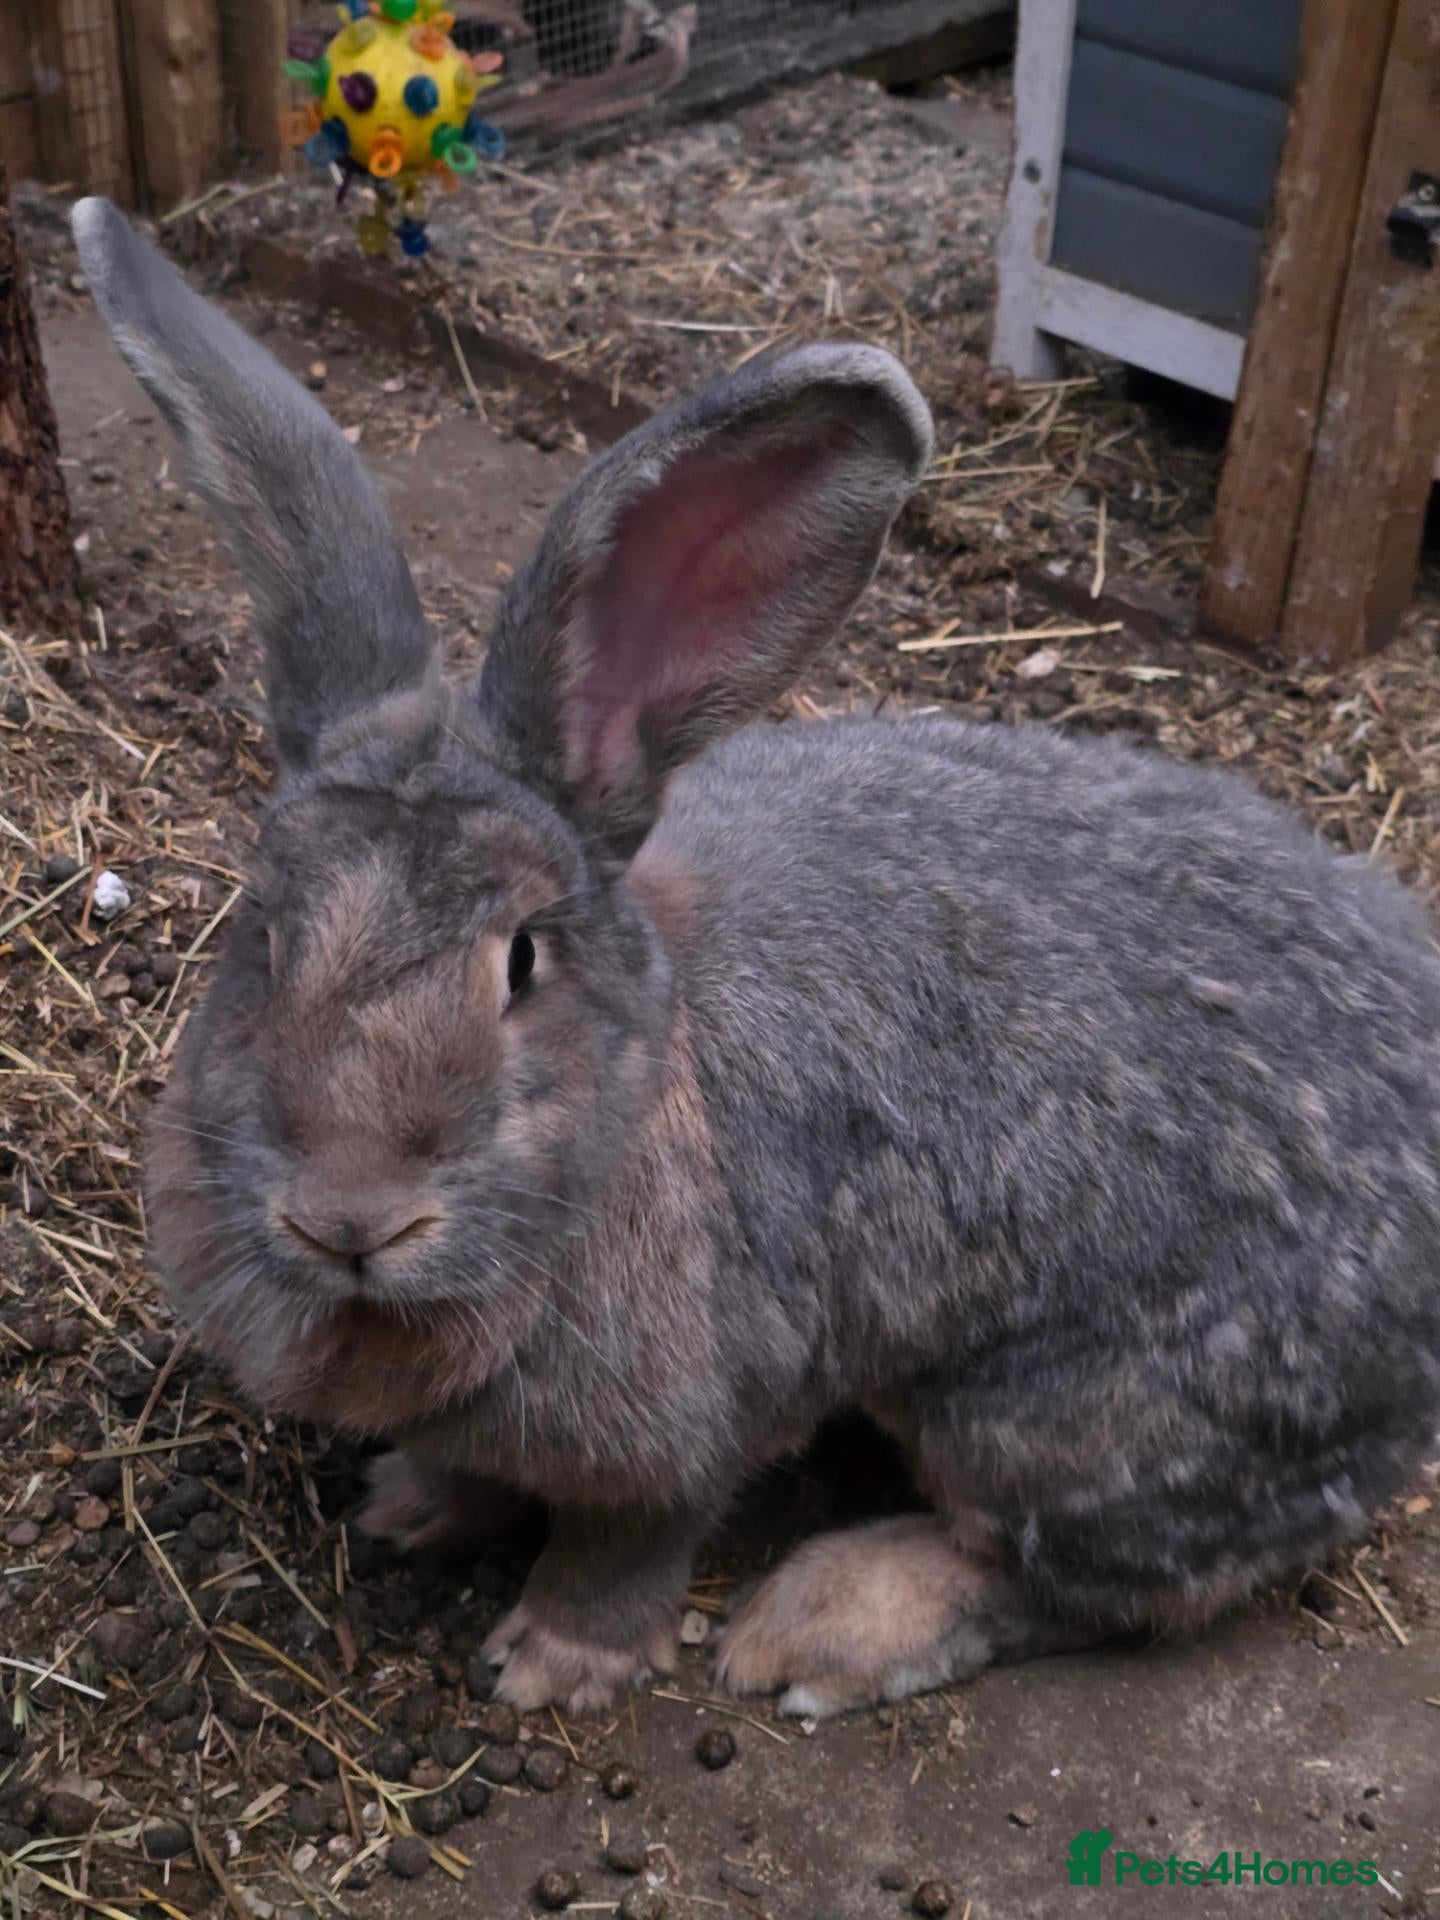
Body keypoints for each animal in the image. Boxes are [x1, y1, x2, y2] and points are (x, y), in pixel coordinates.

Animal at [76, 196, 1440, 1719]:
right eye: (262, 931)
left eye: (522, 962)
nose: (350, 1215)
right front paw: (412, 1507)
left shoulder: (698, 1414)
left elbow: (630, 1538)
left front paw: (554, 1666)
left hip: (1065, 1422)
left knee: (1084, 1580)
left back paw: (818, 1627)